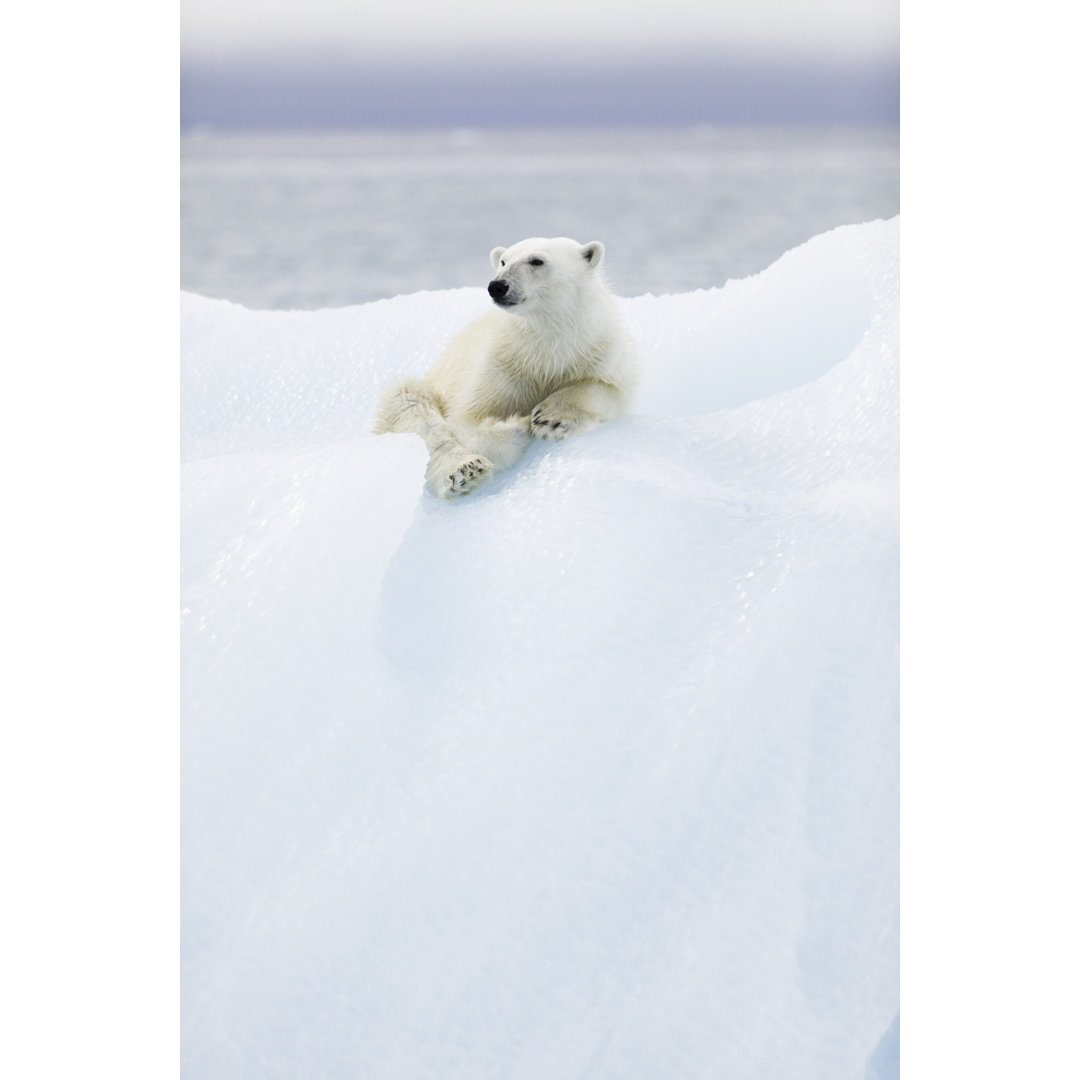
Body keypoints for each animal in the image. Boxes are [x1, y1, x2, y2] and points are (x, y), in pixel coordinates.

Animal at [375, 236, 635, 496]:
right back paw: (464, 470)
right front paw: (521, 424)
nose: (497, 286)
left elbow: (610, 390)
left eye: (537, 260)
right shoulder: (501, 363)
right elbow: (466, 420)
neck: (545, 346)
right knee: (411, 404)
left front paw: (552, 418)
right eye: (503, 261)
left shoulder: (599, 348)